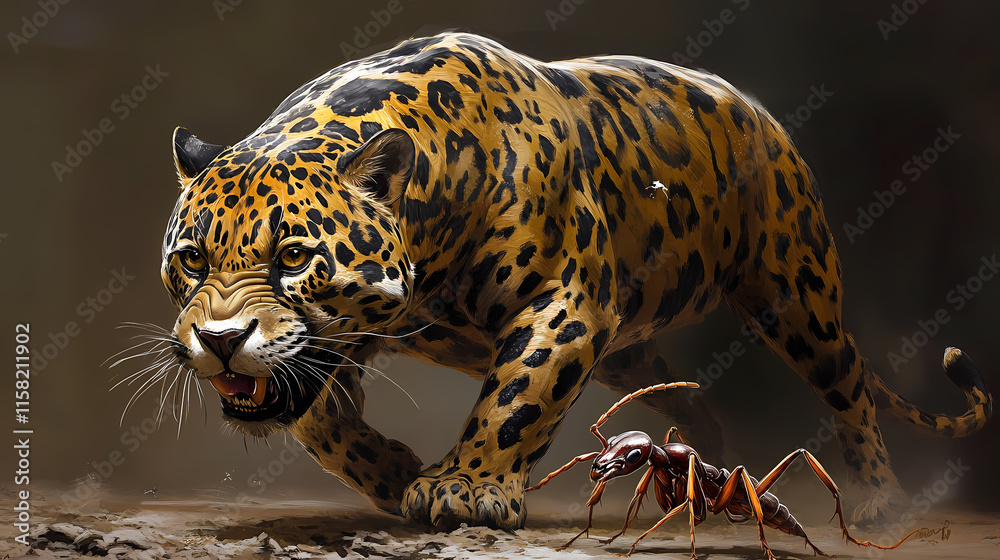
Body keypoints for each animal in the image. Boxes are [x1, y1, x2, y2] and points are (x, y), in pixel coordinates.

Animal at [155, 31, 992, 531]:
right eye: (193, 260)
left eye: (292, 259)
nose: (220, 340)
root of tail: (757, 110)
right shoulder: (336, 345)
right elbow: (318, 420)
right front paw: (392, 473)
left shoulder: (567, 304)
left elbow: (517, 398)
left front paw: (465, 487)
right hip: (632, 346)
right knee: (682, 396)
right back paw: (703, 452)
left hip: (795, 291)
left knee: (848, 386)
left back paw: (881, 499)